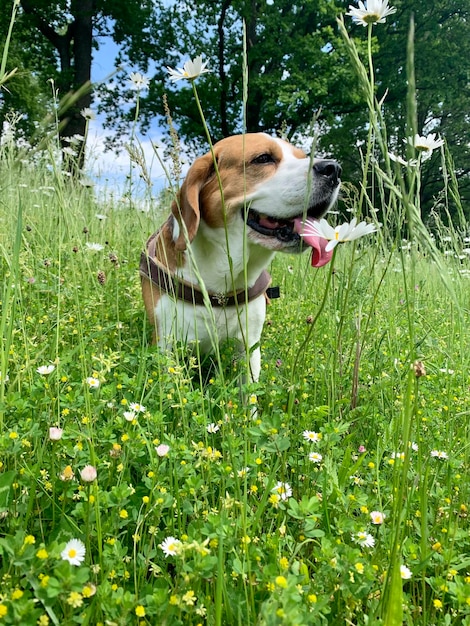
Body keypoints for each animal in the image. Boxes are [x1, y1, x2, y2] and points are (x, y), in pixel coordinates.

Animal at [140, 133, 342, 380]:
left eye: (303, 156)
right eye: (263, 158)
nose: (334, 169)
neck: (222, 278)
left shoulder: (249, 345)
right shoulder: (166, 344)